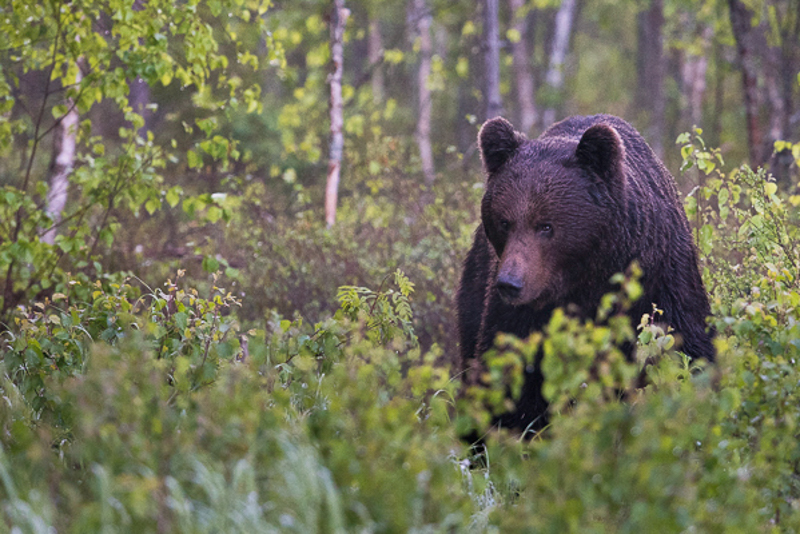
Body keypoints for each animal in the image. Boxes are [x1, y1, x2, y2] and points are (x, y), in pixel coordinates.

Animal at [460, 115, 716, 438]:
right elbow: (505, 380)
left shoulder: (661, 280)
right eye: (504, 222)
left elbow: (688, 350)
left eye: (546, 226)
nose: (509, 284)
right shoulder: (517, 317)